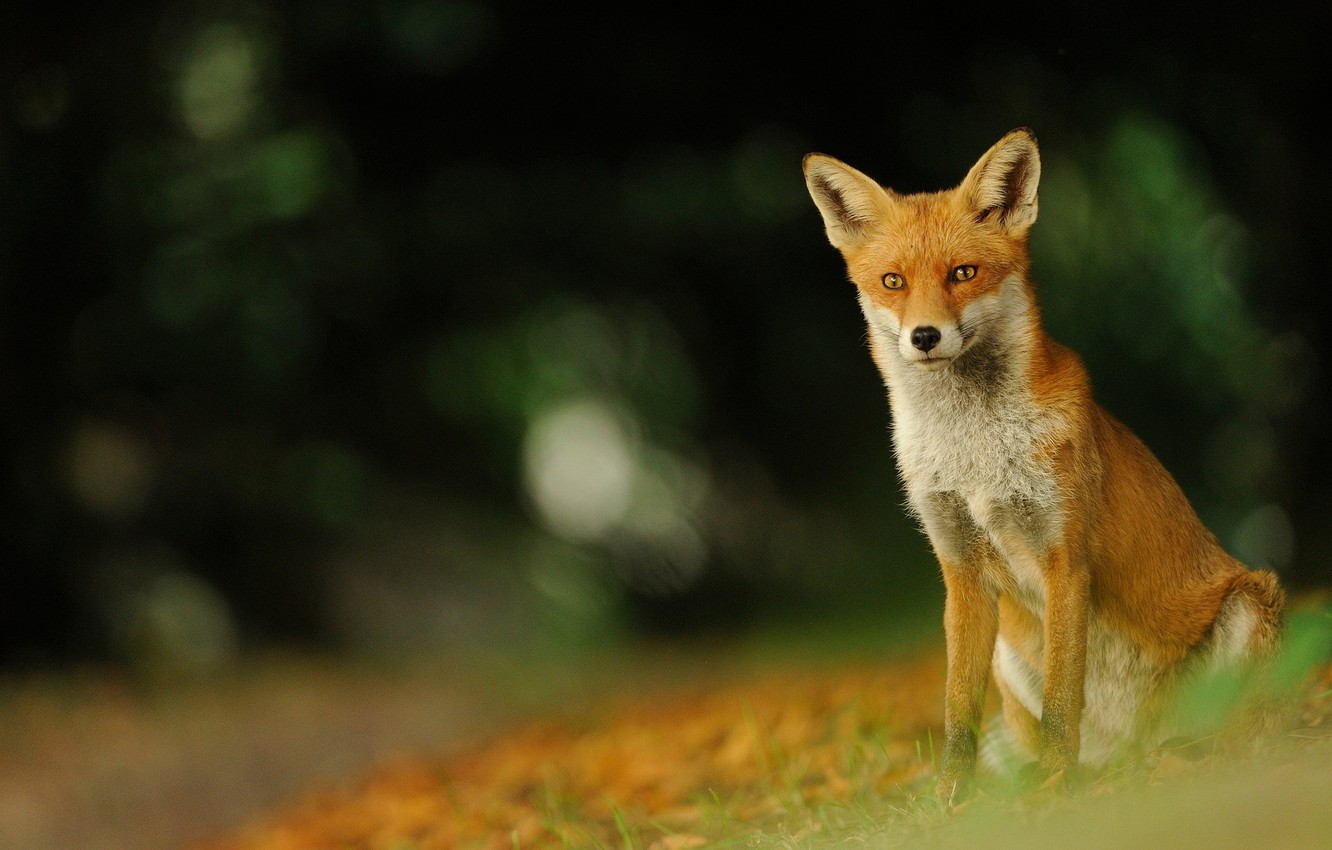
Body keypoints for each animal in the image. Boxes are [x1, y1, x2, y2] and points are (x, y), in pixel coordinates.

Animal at [802, 128, 1285, 803]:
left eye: (963, 273)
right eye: (893, 281)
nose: (924, 336)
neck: (975, 456)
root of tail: (1131, 748)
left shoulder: (1064, 556)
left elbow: (1062, 700)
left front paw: (1056, 791)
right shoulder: (960, 567)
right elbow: (957, 708)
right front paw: (951, 801)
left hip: (1249, 602)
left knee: (1237, 735)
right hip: (1011, 654)